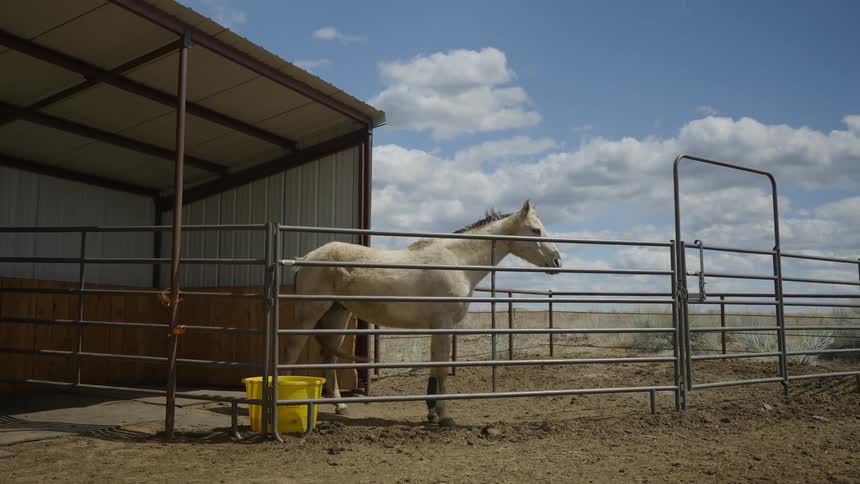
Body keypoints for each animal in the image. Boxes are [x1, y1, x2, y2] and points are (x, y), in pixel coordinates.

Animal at [285, 200, 562, 427]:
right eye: (535, 230)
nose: (557, 261)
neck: (457, 262)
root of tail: (308, 257)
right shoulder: (443, 324)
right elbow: (442, 370)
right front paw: (446, 417)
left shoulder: (439, 327)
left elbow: (434, 367)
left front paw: (432, 413)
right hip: (309, 314)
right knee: (292, 349)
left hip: (338, 314)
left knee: (328, 357)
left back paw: (340, 407)